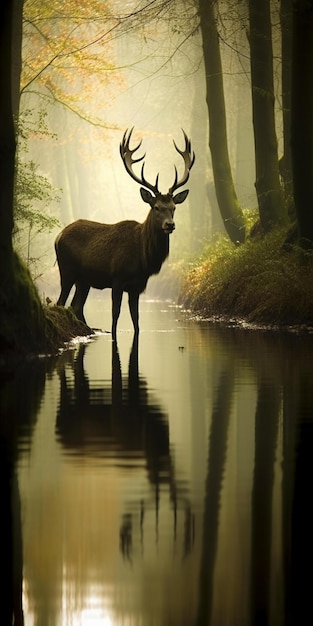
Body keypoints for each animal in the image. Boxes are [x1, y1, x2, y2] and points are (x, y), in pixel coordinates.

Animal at [54, 126, 194, 336]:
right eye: (156, 207)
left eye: (173, 208)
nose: (170, 225)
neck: (143, 257)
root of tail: (58, 236)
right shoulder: (117, 278)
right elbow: (115, 314)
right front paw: (113, 336)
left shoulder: (138, 286)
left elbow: (136, 319)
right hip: (67, 269)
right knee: (61, 303)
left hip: (84, 280)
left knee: (76, 306)